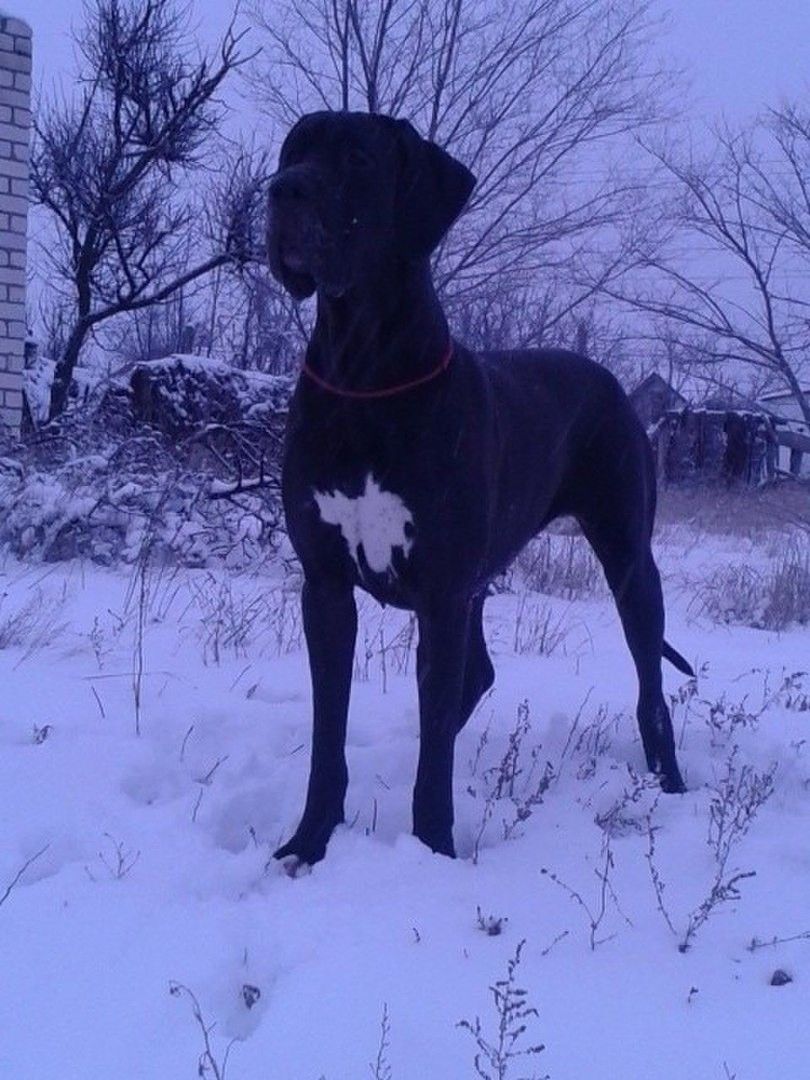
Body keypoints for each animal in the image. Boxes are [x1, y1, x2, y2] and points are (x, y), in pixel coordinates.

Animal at [266, 111, 692, 866]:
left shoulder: (440, 594)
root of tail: (615, 384)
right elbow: (328, 734)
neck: (361, 375)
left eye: (358, 159)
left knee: (651, 689)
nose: (281, 190)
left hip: (628, 563)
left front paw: (434, 849)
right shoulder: (326, 588)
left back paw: (668, 786)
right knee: (476, 678)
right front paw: (310, 842)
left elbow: (434, 740)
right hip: (480, 582)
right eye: (295, 150)